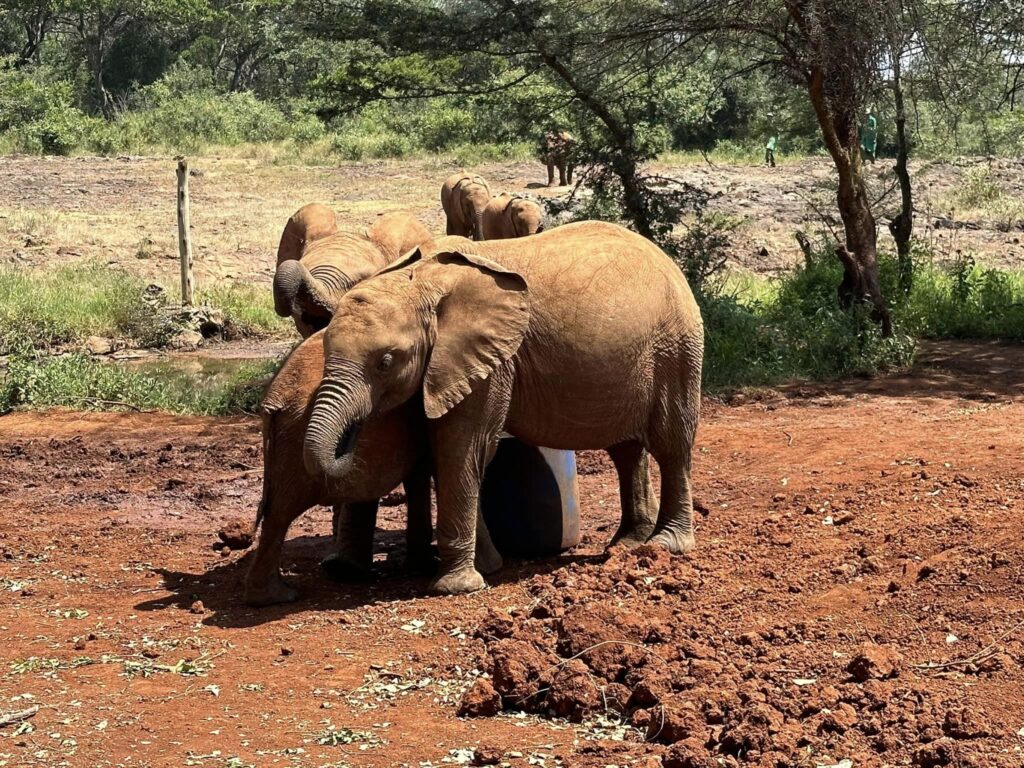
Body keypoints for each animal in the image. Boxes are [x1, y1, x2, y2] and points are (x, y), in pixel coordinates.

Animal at [247, 331, 503, 606]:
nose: (352, 433)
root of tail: (274, 398)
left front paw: (421, 565)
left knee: (277, 511)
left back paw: (273, 596)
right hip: (293, 435)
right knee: (284, 509)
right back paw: (283, 594)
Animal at [301, 219, 704, 598]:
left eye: (385, 362)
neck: (420, 280)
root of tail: (667, 261)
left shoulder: (491, 362)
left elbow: (462, 449)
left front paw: (456, 587)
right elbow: (441, 453)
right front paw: (482, 568)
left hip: (676, 347)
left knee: (671, 444)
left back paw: (666, 545)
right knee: (626, 449)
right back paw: (628, 544)